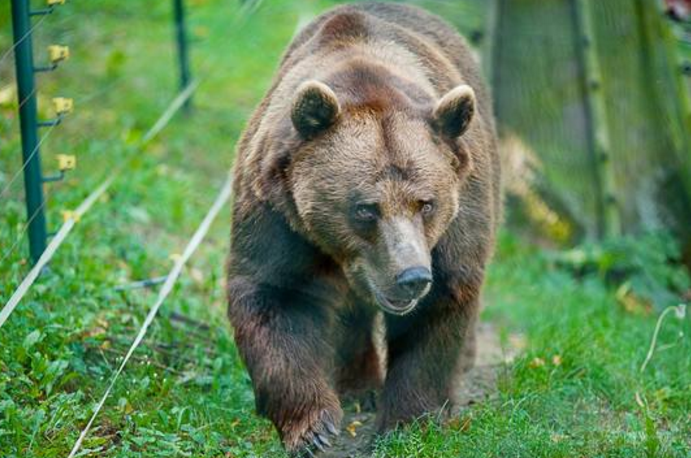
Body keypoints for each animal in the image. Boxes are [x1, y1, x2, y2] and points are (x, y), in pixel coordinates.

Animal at [227, 2, 502, 454]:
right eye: (365, 209)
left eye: (426, 203)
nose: (411, 276)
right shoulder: (276, 210)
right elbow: (273, 294)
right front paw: (313, 428)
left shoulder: (456, 220)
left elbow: (441, 303)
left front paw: (408, 423)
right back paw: (360, 386)